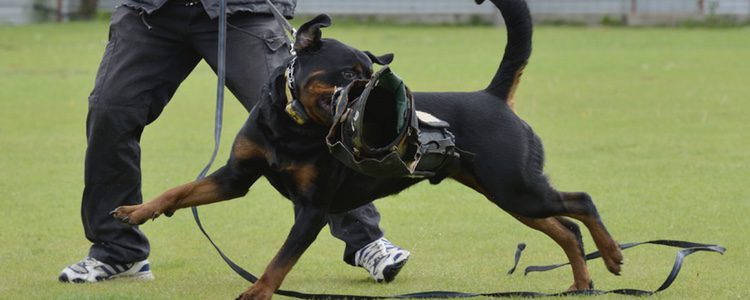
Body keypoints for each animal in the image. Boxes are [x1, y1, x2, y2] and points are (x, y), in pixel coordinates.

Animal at [111, 0, 624, 298]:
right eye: (346, 74)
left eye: (369, 74)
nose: (372, 102)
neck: (292, 127)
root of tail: (493, 96)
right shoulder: (236, 177)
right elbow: (180, 191)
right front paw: (137, 211)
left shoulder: (312, 211)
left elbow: (278, 263)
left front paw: (255, 293)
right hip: (508, 192)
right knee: (565, 228)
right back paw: (582, 283)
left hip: (516, 186)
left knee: (581, 203)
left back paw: (613, 255)